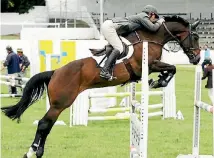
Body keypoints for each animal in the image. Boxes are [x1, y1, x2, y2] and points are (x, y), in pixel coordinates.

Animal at [1, 15, 201, 157]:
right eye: (196, 37)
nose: (197, 59)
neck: (151, 37)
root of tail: (56, 72)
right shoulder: (147, 65)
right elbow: (172, 67)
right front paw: (160, 80)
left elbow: (171, 68)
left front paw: (159, 80)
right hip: (61, 102)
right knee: (44, 124)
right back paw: (34, 152)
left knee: (47, 124)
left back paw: (34, 151)